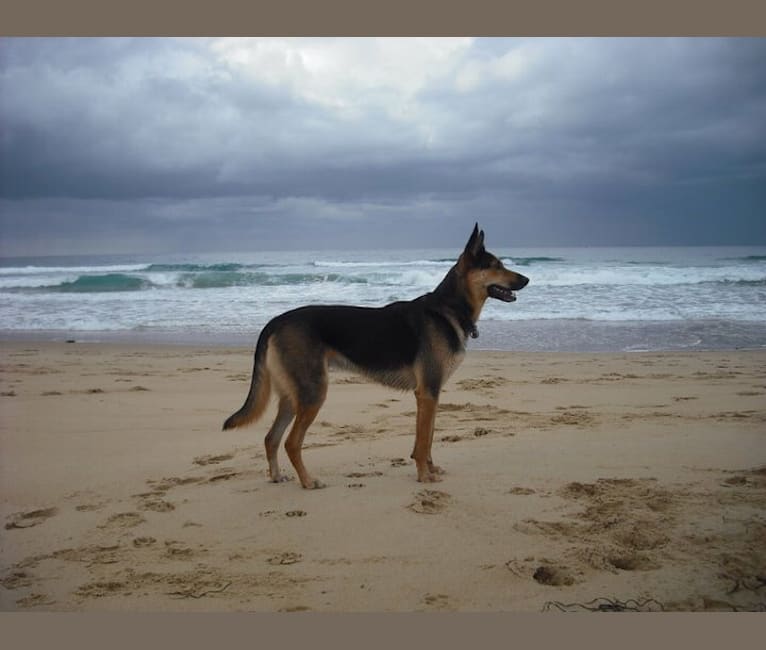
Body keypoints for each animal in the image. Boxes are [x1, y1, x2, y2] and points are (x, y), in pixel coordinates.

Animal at [225, 223, 532, 486]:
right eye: (496, 266)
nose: (527, 279)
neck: (449, 308)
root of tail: (276, 321)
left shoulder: (432, 394)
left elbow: (429, 437)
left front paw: (431, 470)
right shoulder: (427, 393)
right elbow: (423, 442)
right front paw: (424, 476)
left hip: (293, 396)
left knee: (271, 438)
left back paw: (278, 476)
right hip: (313, 393)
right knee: (291, 442)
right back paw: (308, 481)